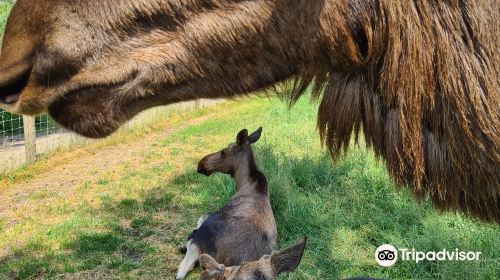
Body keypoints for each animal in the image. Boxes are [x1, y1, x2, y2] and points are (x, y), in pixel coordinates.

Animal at [176, 128, 278, 278]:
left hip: (203, 239)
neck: (242, 182)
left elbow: (201, 218)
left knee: (184, 267)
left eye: (224, 151)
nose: (201, 164)